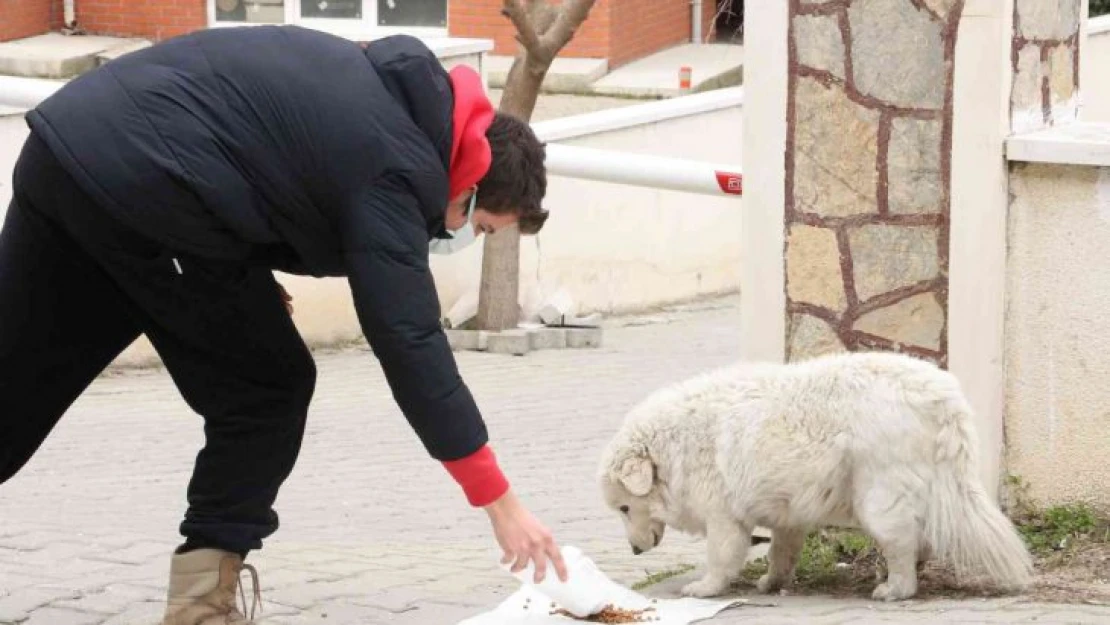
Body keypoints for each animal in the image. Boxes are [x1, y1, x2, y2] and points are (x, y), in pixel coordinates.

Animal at [599, 353, 1030, 599]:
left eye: (624, 507)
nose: (634, 550)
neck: (676, 445)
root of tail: (941, 398)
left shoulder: (724, 517)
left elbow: (722, 556)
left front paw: (704, 588)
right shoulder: (788, 514)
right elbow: (781, 551)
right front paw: (772, 582)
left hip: (878, 494)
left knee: (903, 540)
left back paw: (895, 588)